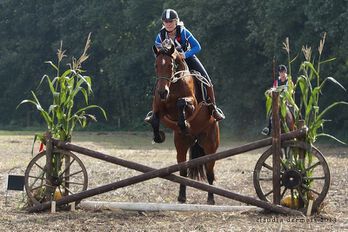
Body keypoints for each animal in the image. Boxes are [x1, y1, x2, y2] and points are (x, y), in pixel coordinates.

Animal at [150, 40, 220, 205]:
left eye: (171, 65)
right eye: (156, 65)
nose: (162, 92)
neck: (173, 84)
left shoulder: (192, 103)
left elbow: (182, 103)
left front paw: (185, 124)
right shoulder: (160, 107)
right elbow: (155, 118)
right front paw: (158, 136)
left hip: (210, 145)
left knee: (210, 173)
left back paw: (211, 199)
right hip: (181, 145)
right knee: (183, 172)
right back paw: (181, 197)